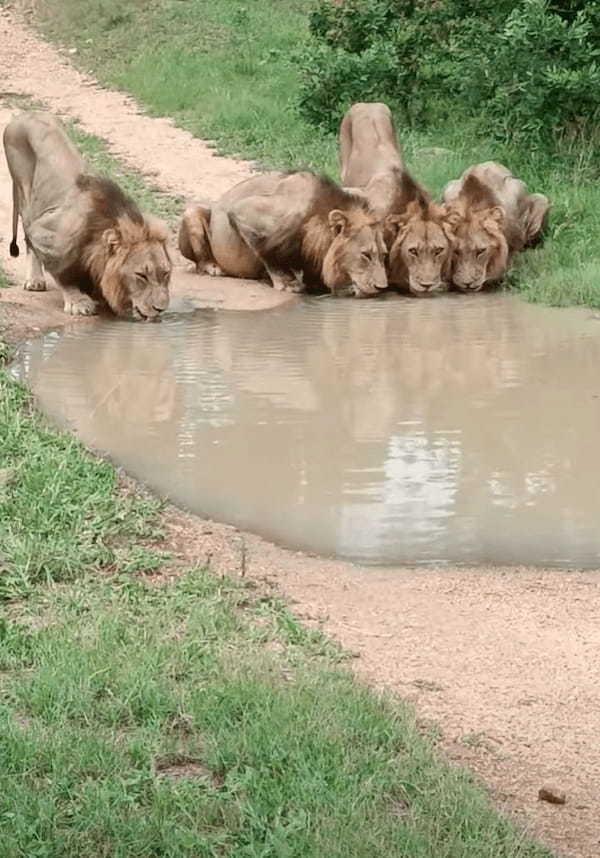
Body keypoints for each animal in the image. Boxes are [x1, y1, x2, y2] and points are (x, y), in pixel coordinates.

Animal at [5, 109, 171, 318]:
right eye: (141, 275)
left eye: (165, 274)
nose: (160, 309)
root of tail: (25, 114)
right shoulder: (48, 232)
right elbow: (63, 274)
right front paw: (79, 302)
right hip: (24, 191)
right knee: (28, 237)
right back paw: (35, 280)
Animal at [176, 171, 386, 298]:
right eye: (366, 255)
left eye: (383, 255)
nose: (382, 288)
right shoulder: (245, 212)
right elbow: (267, 251)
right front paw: (288, 283)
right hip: (191, 213)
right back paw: (213, 267)